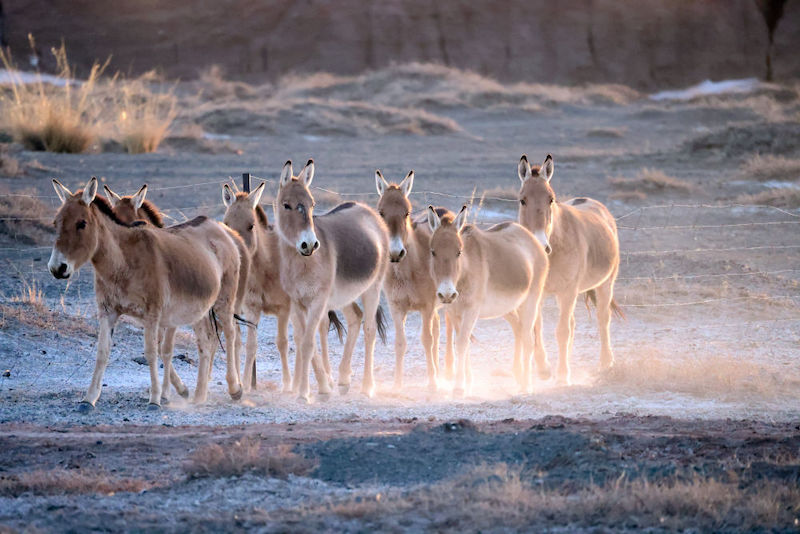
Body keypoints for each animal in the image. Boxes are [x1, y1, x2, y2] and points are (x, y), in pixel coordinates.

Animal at [49, 177, 244, 410]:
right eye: (55, 223)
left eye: (81, 223)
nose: (57, 268)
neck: (123, 261)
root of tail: (219, 227)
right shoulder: (108, 312)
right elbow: (102, 352)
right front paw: (89, 399)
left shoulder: (153, 314)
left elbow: (152, 352)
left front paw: (156, 399)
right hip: (200, 308)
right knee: (207, 341)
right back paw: (199, 395)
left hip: (224, 300)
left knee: (230, 333)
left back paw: (235, 388)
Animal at [274, 161, 390, 404]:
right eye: (286, 205)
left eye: (312, 204)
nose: (310, 244)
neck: (303, 263)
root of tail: (368, 211)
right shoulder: (297, 302)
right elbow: (303, 340)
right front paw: (323, 387)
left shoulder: (318, 300)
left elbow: (308, 343)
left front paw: (304, 394)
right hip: (344, 294)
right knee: (355, 317)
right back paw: (344, 379)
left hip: (373, 288)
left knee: (370, 329)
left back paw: (367, 387)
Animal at [424, 207, 552, 396]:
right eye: (433, 252)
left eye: (459, 252)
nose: (447, 293)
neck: (464, 272)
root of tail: (532, 239)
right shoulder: (454, 312)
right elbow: (463, 343)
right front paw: (468, 382)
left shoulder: (471, 310)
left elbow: (461, 343)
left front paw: (459, 387)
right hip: (508, 308)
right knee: (519, 330)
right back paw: (519, 376)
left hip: (530, 300)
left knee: (529, 339)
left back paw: (526, 386)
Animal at [516, 155, 620, 386]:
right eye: (522, 200)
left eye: (551, 199)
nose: (541, 246)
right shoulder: (538, 293)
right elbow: (536, 328)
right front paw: (544, 369)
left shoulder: (568, 292)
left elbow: (562, 331)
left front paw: (563, 377)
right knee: (572, 324)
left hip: (605, 285)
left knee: (603, 319)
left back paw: (606, 363)